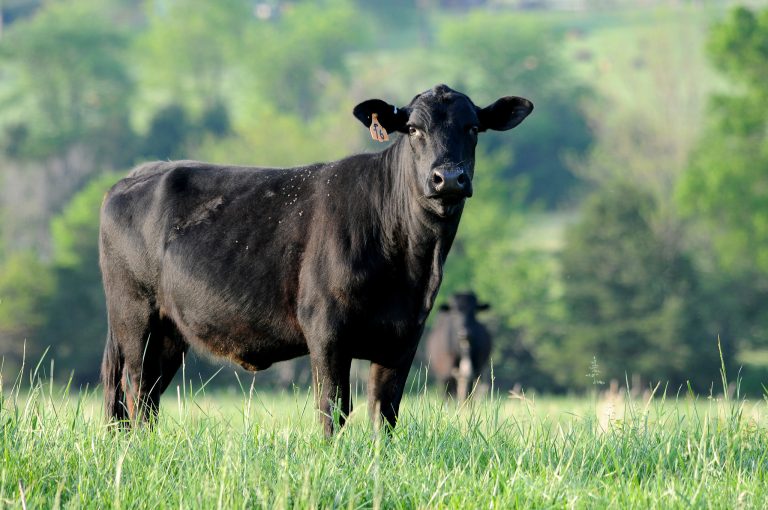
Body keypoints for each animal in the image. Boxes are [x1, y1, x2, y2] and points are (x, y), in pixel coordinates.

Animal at [99, 84, 533, 436]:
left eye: (472, 128)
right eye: (412, 129)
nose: (449, 178)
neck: (411, 265)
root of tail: (134, 176)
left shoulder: (405, 335)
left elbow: (385, 410)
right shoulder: (325, 327)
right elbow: (333, 406)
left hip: (169, 329)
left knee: (146, 392)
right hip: (134, 314)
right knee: (135, 386)